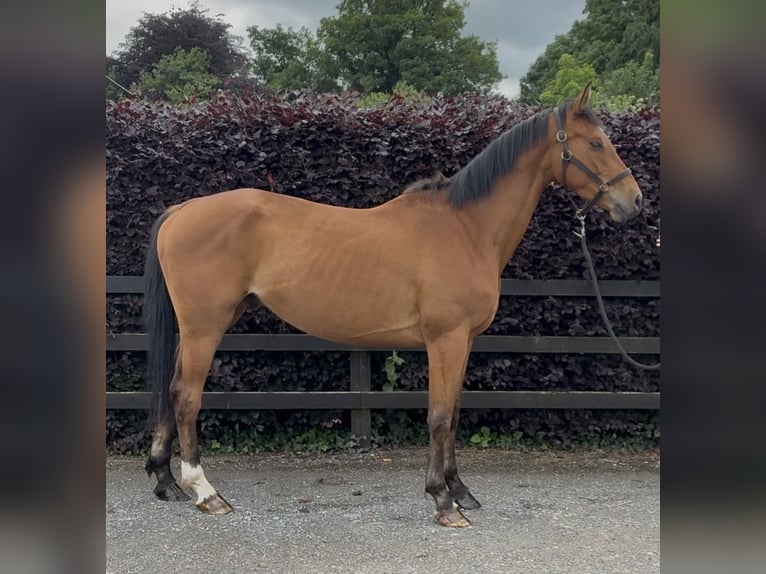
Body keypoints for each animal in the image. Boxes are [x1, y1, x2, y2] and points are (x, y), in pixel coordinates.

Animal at [142, 83, 643, 528]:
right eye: (596, 142)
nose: (634, 201)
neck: (467, 227)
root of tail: (182, 210)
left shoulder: (464, 342)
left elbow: (454, 413)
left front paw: (461, 491)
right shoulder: (446, 340)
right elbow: (439, 417)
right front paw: (443, 501)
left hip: (204, 325)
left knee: (170, 389)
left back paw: (166, 481)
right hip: (205, 327)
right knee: (186, 396)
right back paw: (206, 492)